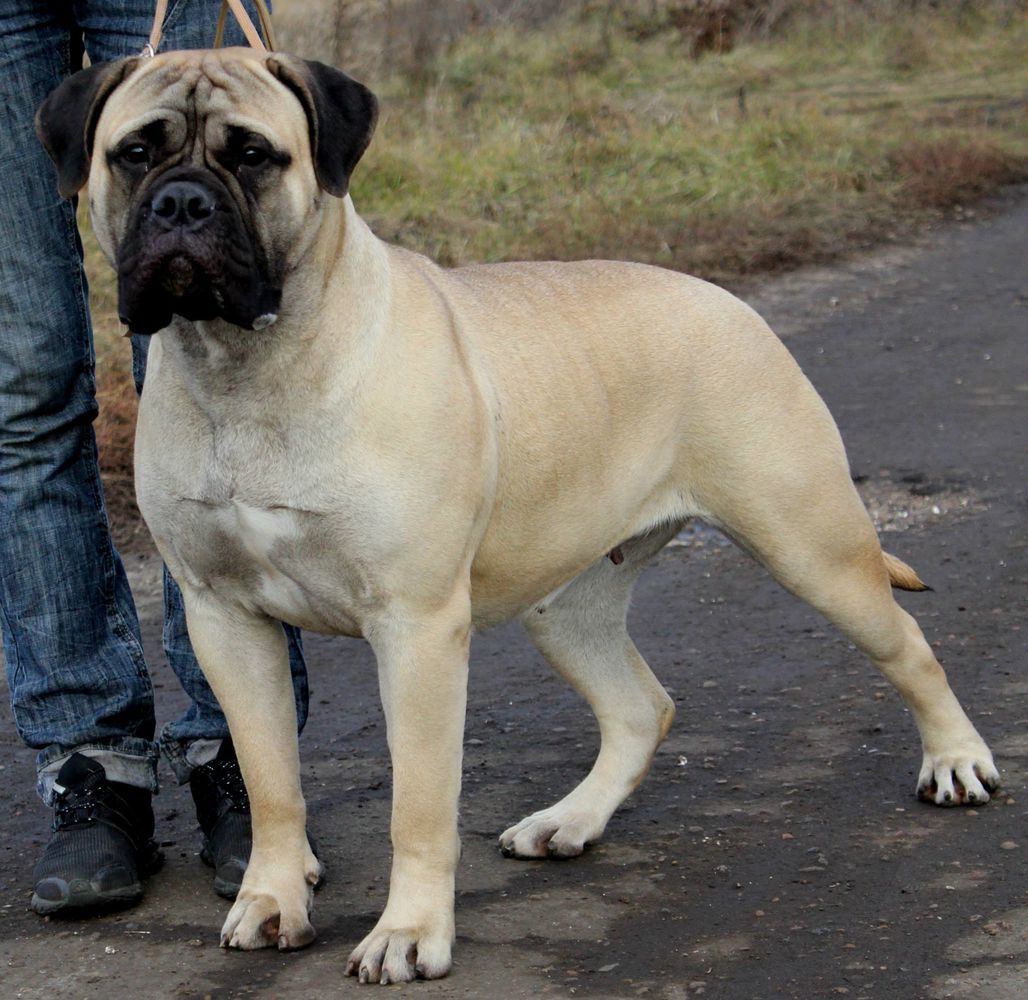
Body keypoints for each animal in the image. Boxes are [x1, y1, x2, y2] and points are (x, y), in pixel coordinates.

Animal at [38, 48, 995, 982]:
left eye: (251, 155)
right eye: (134, 153)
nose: (182, 202)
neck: (247, 363)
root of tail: (723, 297)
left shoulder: (418, 628)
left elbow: (419, 803)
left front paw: (409, 933)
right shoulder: (225, 619)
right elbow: (272, 779)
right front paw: (273, 898)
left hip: (808, 542)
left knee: (907, 645)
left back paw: (955, 762)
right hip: (566, 601)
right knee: (641, 707)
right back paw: (569, 821)